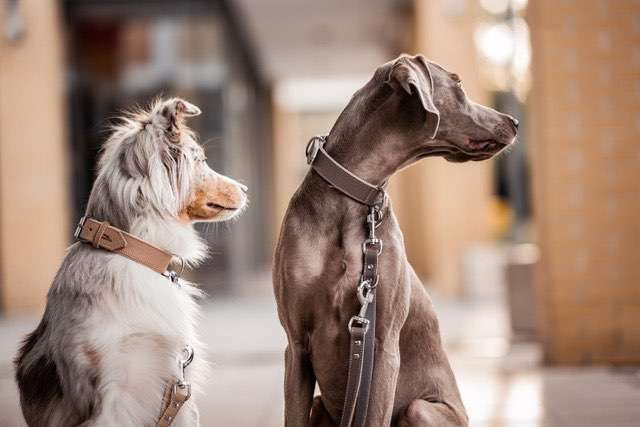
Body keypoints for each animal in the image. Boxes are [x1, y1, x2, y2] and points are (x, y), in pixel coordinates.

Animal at [272, 54, 516, 427]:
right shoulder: (296, 344)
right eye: (458, 84)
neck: (353, 197)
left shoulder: (383, 342)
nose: (514, 121)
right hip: (319, 403)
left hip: (420, 409)